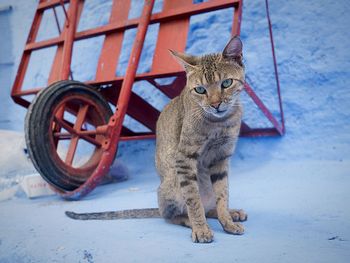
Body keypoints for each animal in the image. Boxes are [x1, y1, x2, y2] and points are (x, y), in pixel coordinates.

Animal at [65, 36, 246, 244]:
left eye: (226, 83)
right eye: (200, 90)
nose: (215, 105)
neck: (219, 122)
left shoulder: (221, 158)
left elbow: (222, 194)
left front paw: (227, 221)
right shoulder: (184, 159)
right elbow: (193, 200)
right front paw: (200, 229)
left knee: (208, 206)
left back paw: (232, 213)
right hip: (173, 182)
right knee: (172, 215)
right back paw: (191, 222)